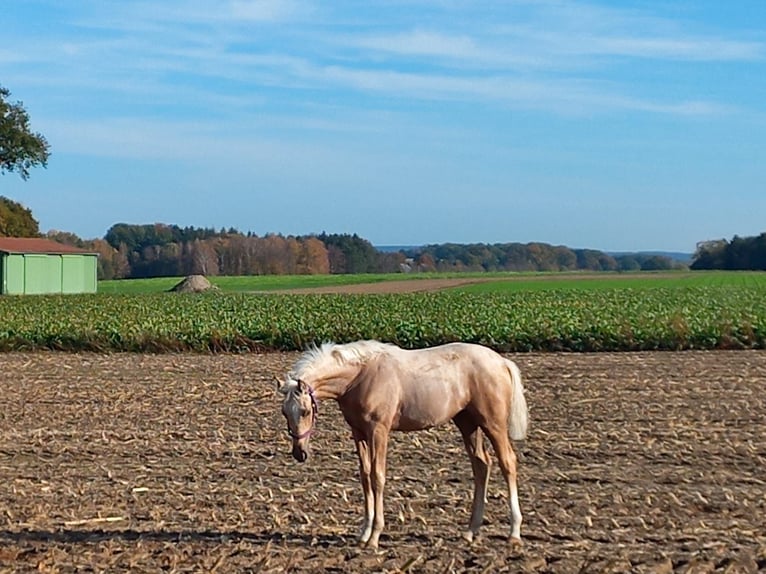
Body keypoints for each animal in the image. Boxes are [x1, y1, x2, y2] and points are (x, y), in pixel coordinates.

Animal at [276, 340, 528, 552]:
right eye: (284, 412)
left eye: (305, 411)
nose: (299, 453)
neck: (360, 376)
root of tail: (501, 361)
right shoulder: (359, 433)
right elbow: (365, 476)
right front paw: (363, 533)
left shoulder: (379, 431)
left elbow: (377, 477)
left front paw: (374, 537)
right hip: (468, 424)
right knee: (481, 465)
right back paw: (471, 531)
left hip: (493, 424)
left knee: (507, 462)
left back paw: (514, 533)